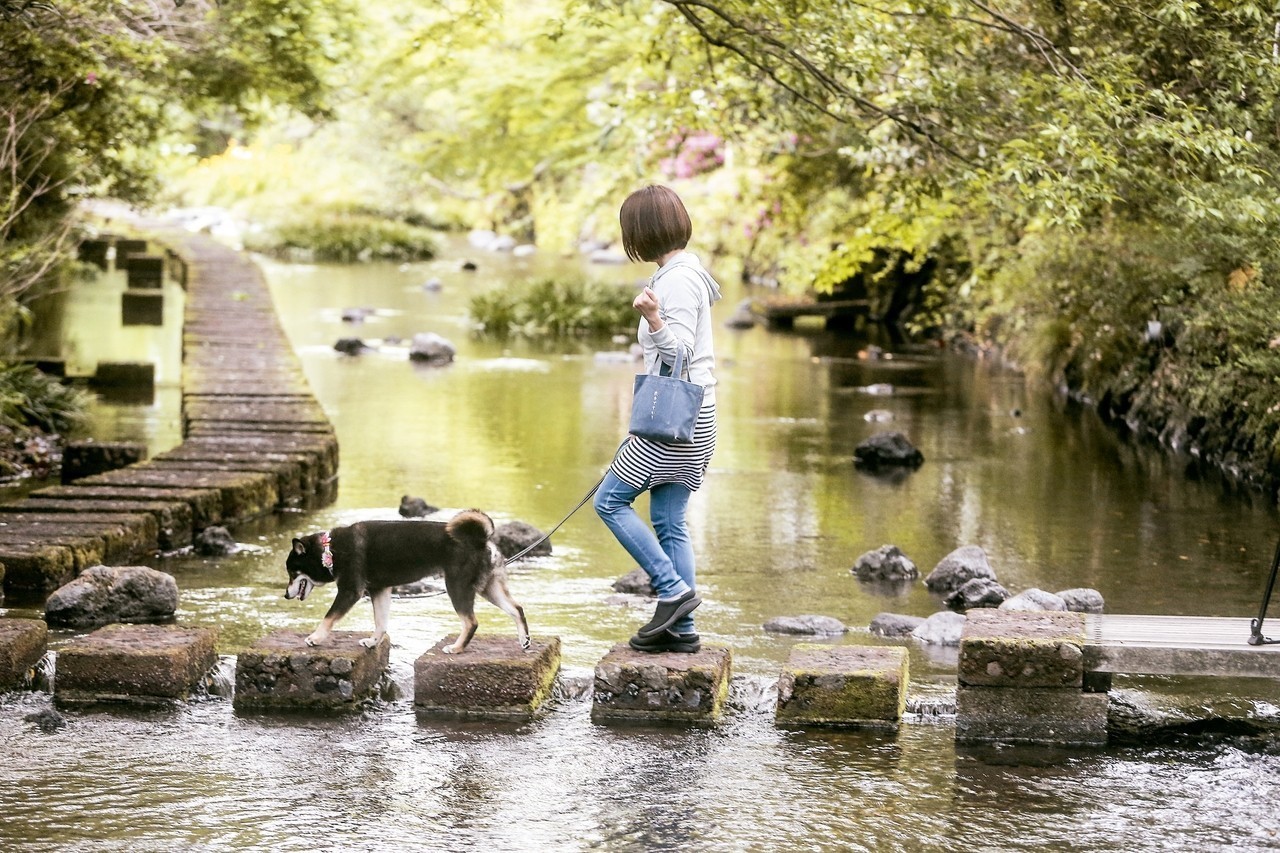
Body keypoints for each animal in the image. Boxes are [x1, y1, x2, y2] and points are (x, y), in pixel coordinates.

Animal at [284, 504, 529, 650]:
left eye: (292, 573)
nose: (285, 595)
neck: (330, 550)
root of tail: (481, 541)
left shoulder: (350, 591)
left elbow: (328, 618)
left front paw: (315, 638)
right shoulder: (380, 590)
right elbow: (380, 622)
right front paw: (373, 642)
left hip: (457, 588)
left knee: (471, 622)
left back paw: (457, 648)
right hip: (489, 588)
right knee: (517, 609)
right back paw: (524, 641)